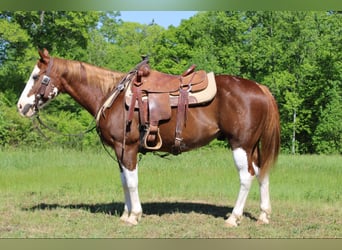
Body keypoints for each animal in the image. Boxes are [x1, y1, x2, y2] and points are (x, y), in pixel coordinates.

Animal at [17, 48, 280, 227]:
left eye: (35, 76)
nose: (21, 106)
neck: (111, 95)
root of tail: (259, 88)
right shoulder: (120, 150)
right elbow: (124, 181)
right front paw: (125, 214)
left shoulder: (129, 148)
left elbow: (132, 181)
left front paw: (134, 216)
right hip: (251, 147)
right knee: (262, 173)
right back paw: (264, 215)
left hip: (240, 145)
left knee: (247, 176)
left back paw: (234, 218)